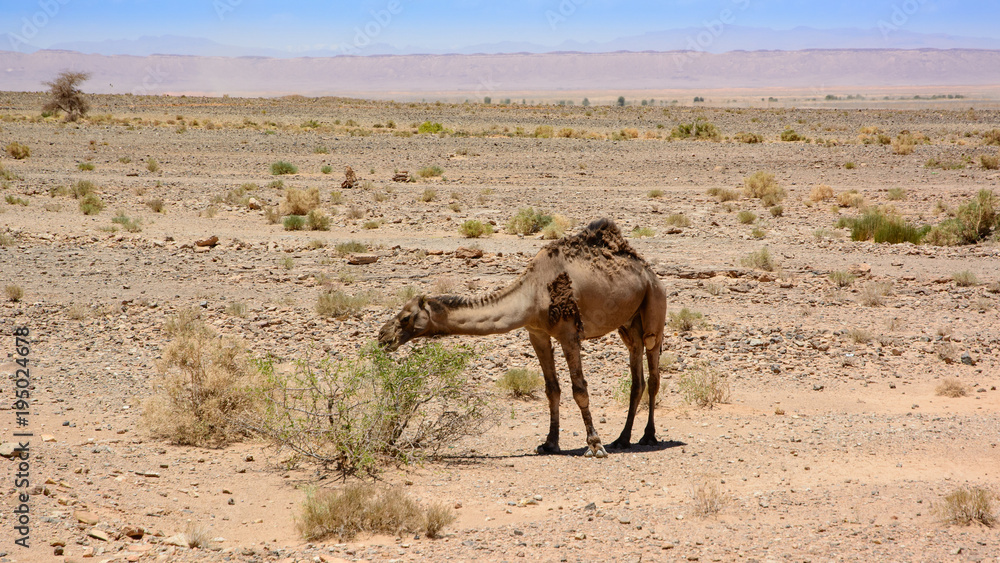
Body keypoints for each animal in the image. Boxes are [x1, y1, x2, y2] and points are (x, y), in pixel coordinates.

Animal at [378, 218, 668, 460]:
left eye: (405, 317)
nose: (383, 336)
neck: (533, 294)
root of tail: (648, 270)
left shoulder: (568, 333)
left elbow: (579, 389)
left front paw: (595, 445)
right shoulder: (536, 333)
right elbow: (552, 389)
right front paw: (550, 443)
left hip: (654, 304)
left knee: (653, 369)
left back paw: (648, 436)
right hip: (628, 324)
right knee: (637, 375)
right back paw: (623, 439)